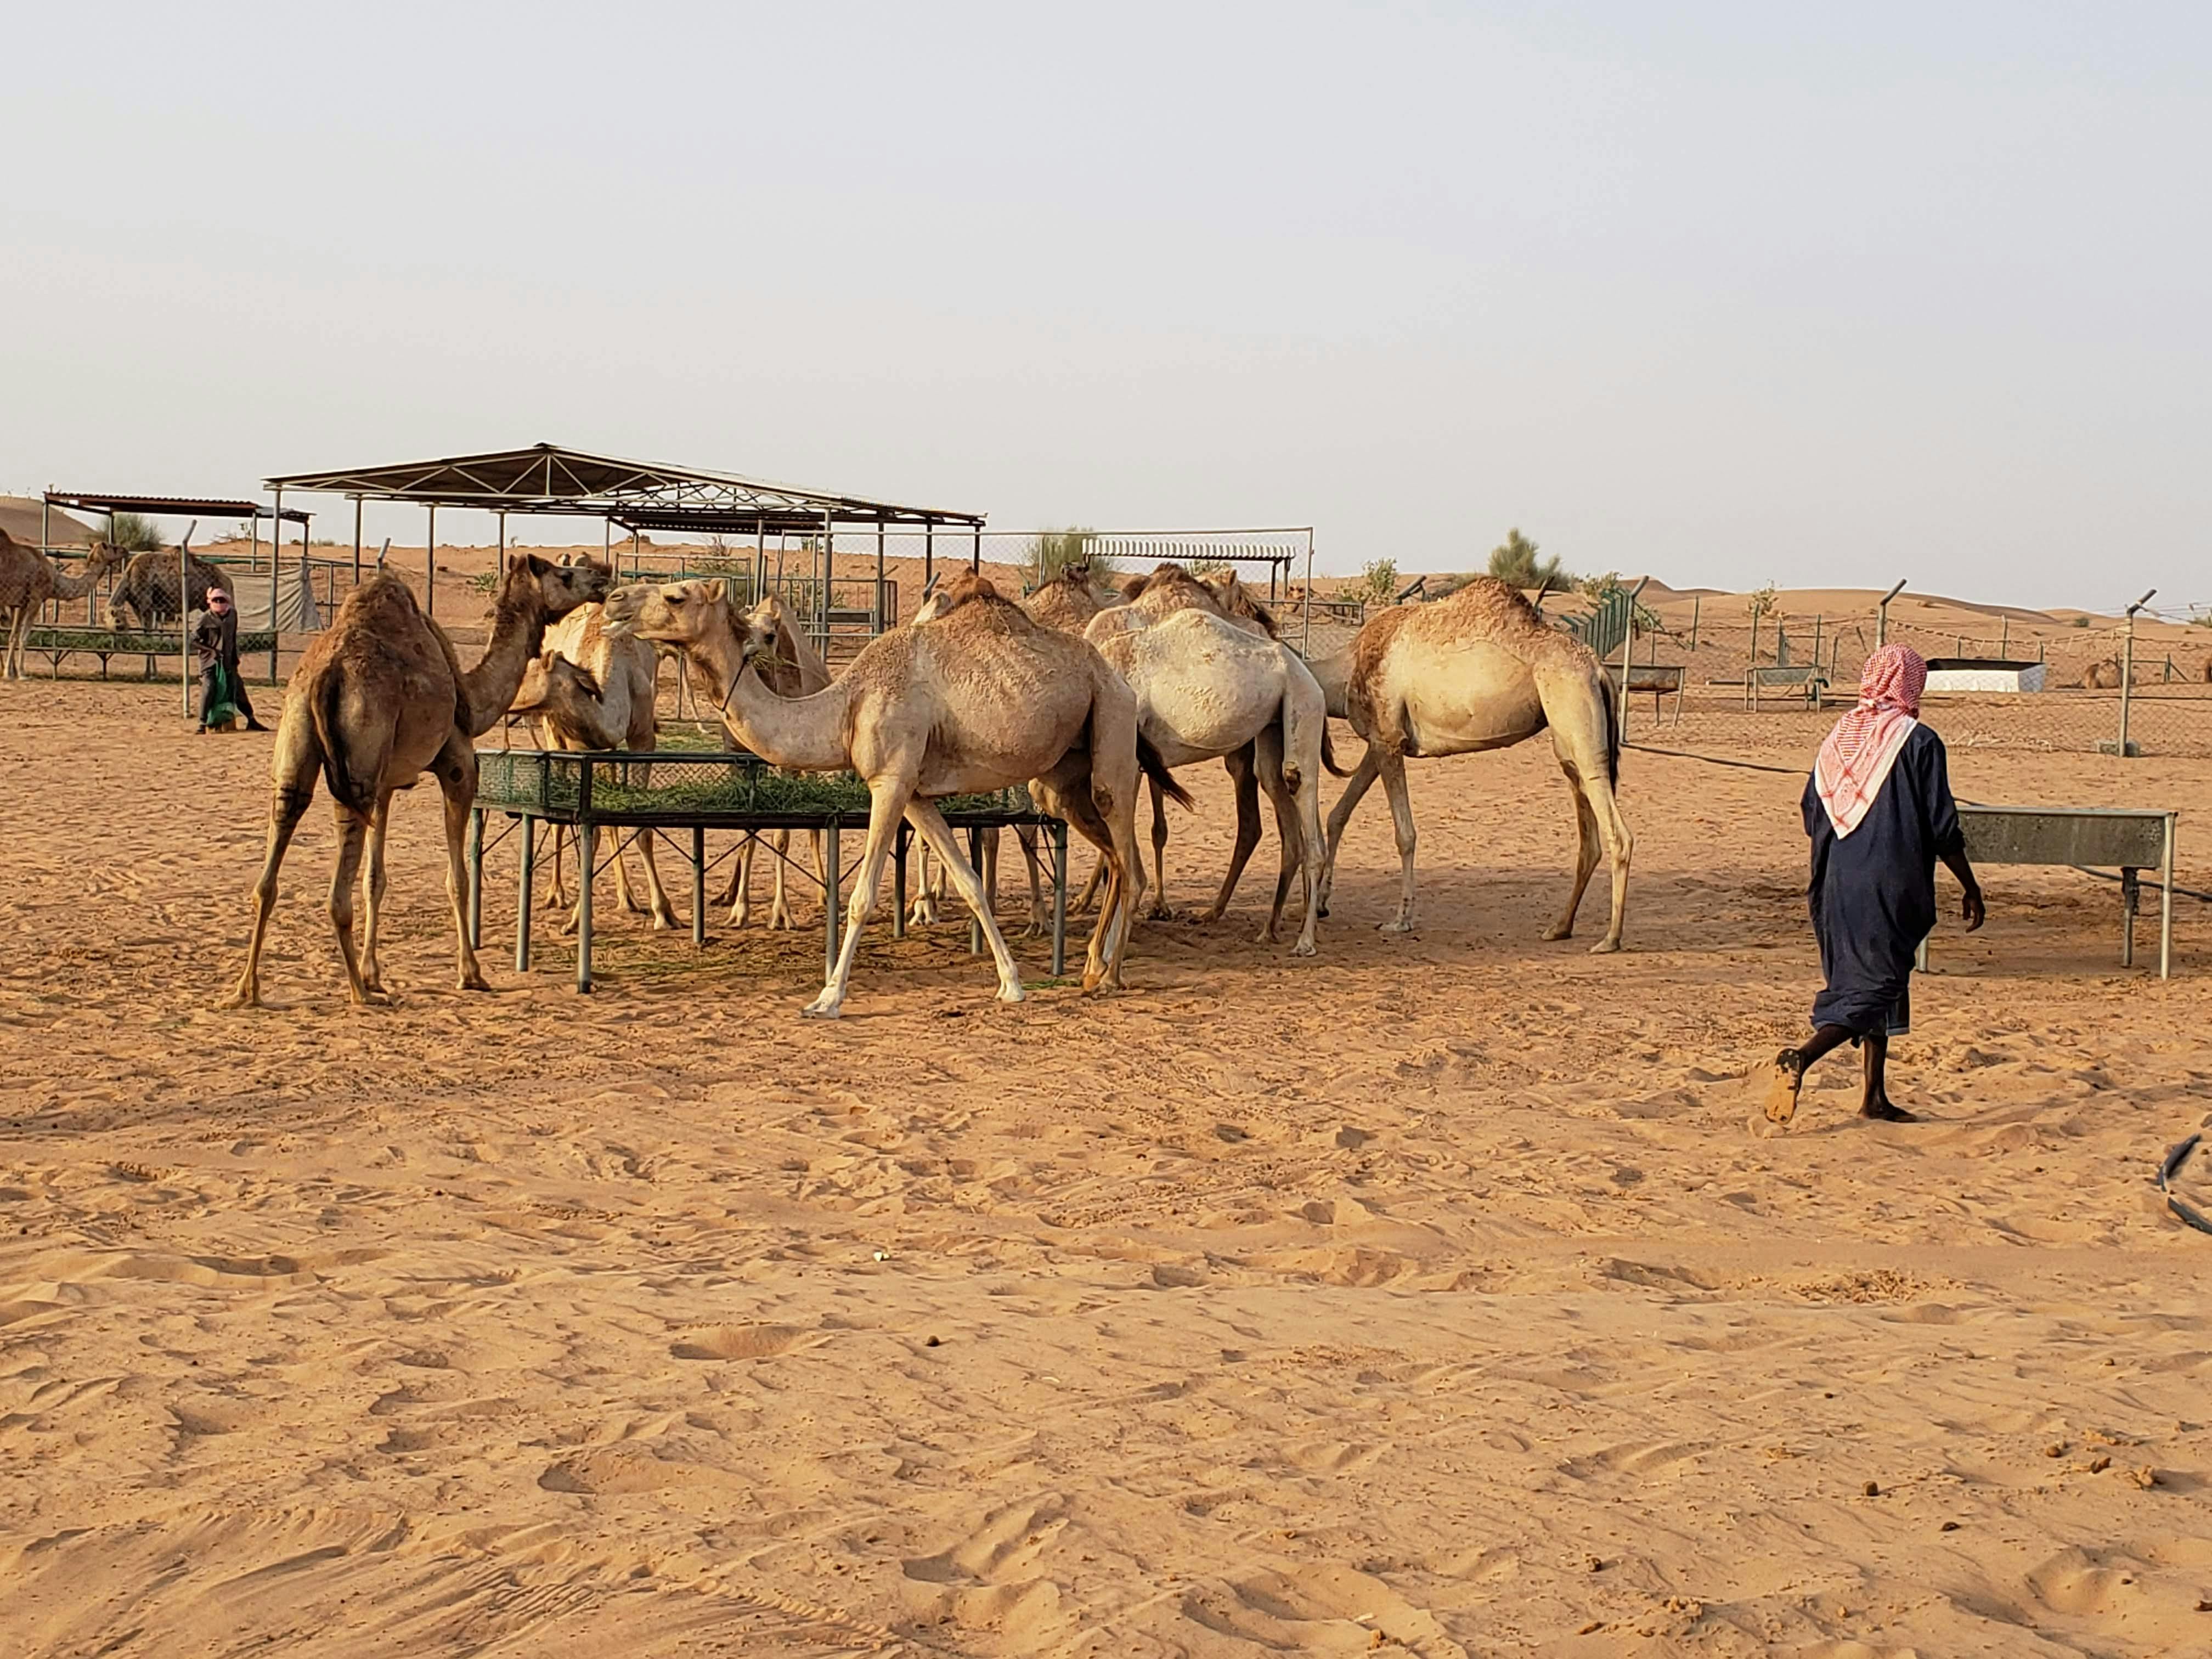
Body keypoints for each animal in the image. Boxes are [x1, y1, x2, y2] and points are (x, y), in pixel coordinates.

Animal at [0, 532, 128, 678]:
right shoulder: (36, 599)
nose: (125, 550)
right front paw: (21, 674)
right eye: (113, 547)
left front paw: (11, 673)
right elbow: (23, 637)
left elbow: (14, 636)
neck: (55, 582)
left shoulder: (19, 604)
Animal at [226, 554, 611, 1007]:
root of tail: (326, 675)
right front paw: (471, 974)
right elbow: (458, 878)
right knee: (336, 894)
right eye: (564, 575)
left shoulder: (386, 786)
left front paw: (375, 973)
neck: (472, 698)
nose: (601, 579)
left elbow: (375, 879)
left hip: (299, 747)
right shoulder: (458, 764)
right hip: (358, 762)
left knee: (273, 861)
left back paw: (247, 989)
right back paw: (359, 994)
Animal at [511, 603, 679, 932]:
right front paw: (577, 919)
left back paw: (628, 897)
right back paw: (556, 895)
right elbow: (592, 831)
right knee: (559, 821)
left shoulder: (642, 738)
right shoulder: (582, 746)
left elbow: (639, 828)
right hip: (554, 737)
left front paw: (664, 912)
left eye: (526, 674)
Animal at [603, 575, 1176, 1017]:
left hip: (1111, 726)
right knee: (1114, 858)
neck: (846, 706)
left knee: (1130, 860)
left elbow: (862, 897)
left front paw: (827, 998)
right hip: (1061, 778)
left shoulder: (890, 781)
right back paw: (1091, 969)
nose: (613, 602)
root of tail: (1120, 681)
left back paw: (1110, 977)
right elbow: (970, 883)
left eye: (677, 596)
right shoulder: (916, 792)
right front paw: (1011, 984)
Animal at [1316, 576, 1632, 950]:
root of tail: (1599, 670)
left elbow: (1405, 833)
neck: (1346, 669)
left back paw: (1610, 938)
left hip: (1577, 718)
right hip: (1568, 739)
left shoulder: (1388, 739)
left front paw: (1400, 920)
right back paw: (1559, 927)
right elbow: (1338, 814)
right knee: (1588, 835)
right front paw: (1321, 903)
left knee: (1616, 830)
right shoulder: (1378, 742)